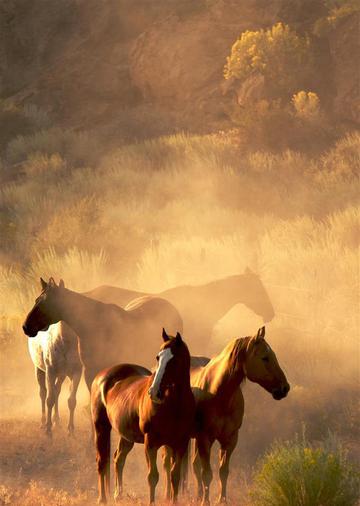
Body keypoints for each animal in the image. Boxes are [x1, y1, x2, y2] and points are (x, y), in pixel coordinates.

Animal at [23, 276, 183, 392]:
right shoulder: (89, 372)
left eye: (46, 303)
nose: (25, 326)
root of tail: (173, 308)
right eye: (36, 300)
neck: (94, 326)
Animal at [91, 330, 195, 504]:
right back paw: (102, 499)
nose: (154, 392)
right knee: (102, 461)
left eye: (174, 359)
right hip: (101, 428)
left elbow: (175, 476)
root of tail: (102, 377)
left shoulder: (180, 443)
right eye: (158, 357)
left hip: (126, 436)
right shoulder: (150, 442)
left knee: (118, 459)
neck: (174, 405)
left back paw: (118, 495)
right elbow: (152, 476)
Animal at [163, 326, 290, 504]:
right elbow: (207, 473)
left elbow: (223, 471)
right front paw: (206, 502)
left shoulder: (230, 440)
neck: (219, 392)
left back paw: (197, 495)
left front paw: (221, 500)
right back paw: (169, 496)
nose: (285, 388)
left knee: (192, 465)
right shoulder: (205, 439)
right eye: (265, 358)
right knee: (168, 465)